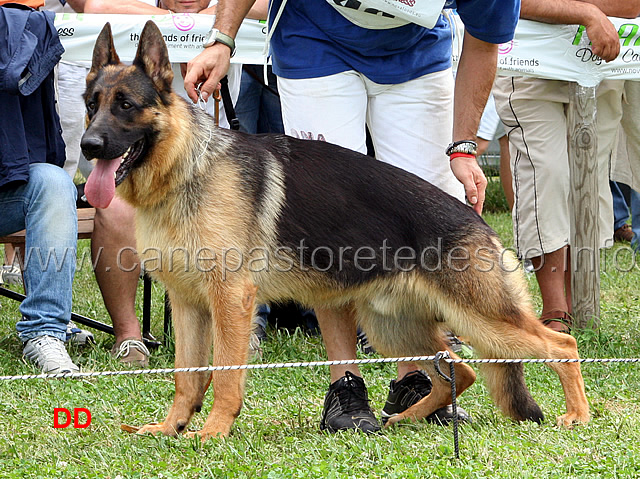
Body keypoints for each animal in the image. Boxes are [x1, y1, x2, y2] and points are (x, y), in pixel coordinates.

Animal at [80, 21, 592, 442]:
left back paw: (578, 415)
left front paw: (213, 432)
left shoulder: (230, 301)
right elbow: (186, 376)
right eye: (91, 106)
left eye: (126, 105)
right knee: (460, 371)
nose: (87, 146)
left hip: (481, 320)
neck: (187, 168)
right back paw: (405, 417)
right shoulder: (188, 303)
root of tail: (478, 219)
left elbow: (223, 376)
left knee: (561, 345)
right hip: (392, 326)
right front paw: (172, 427)